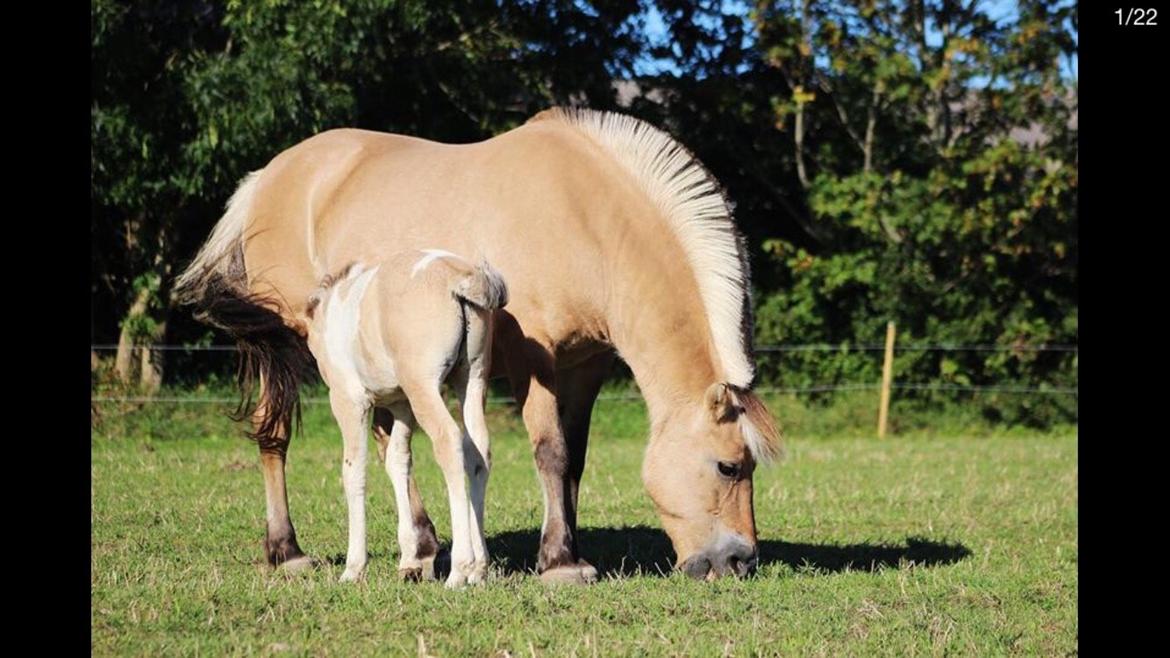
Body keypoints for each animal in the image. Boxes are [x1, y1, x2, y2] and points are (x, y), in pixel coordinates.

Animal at [304, 249, 505, 583]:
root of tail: (460, 277)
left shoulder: (350, 402)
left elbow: (353, 471)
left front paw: (353, 568)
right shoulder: (401, 406)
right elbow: (398, 463)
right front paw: (410, 557)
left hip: (424, 387)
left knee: (449, 441)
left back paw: (459, 571)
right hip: (472, 379)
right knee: (479, 451)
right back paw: (479, 569)